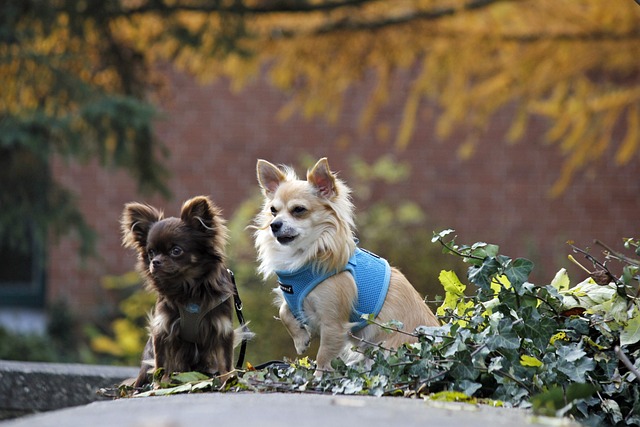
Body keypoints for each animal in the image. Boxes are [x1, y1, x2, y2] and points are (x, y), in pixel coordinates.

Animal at [252, 158, 438, 374]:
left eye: (298, 210)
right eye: (273, 211)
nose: (274, 225)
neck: (305, 253)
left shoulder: (333, 323)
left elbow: (324, 355)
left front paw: (318, 376)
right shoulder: (294, 298)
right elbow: (284, 311)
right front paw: (300, 339)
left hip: (388, 350)